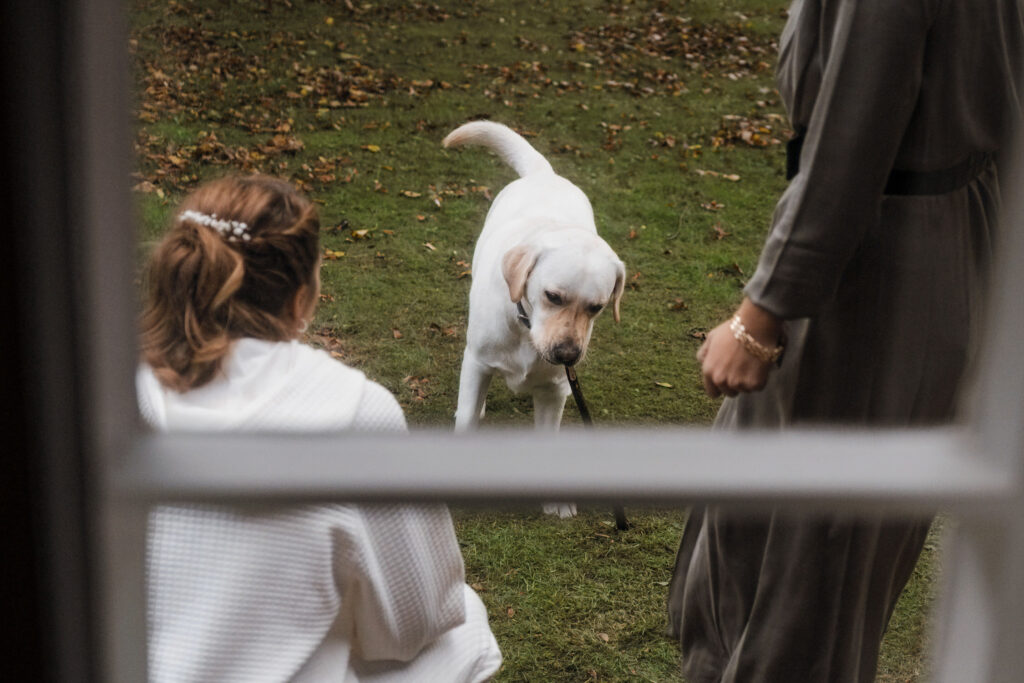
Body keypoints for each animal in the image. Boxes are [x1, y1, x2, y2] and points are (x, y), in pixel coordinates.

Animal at [442, 122, 622, 516]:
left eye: (597, 307)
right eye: (552, 296)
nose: (567, 354)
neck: (523, 327)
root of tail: (545, 173)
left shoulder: (556, 389)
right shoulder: (478, 360)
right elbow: (467, 417)